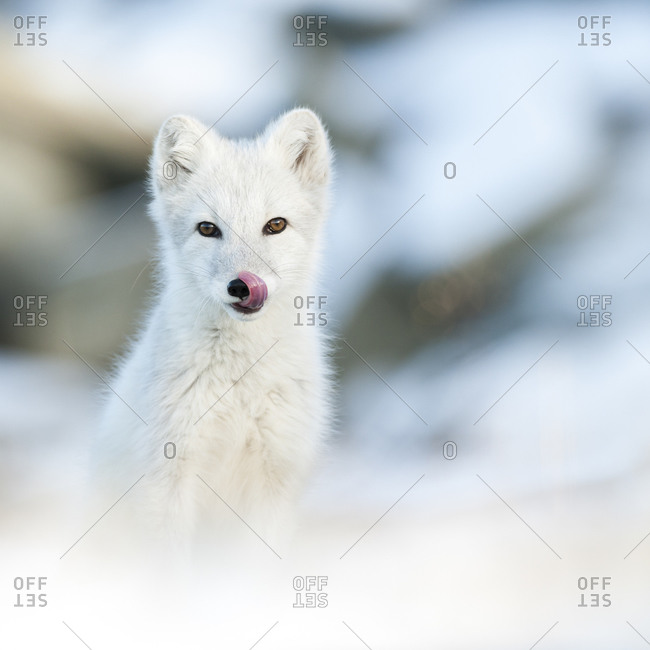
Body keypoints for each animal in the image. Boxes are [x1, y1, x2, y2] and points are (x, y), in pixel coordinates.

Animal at [92, 108, 333, 553]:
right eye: (208, 229)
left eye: (275, 225)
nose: (242, 285)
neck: (240, 383)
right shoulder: (166, 479)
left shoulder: (274, 482)